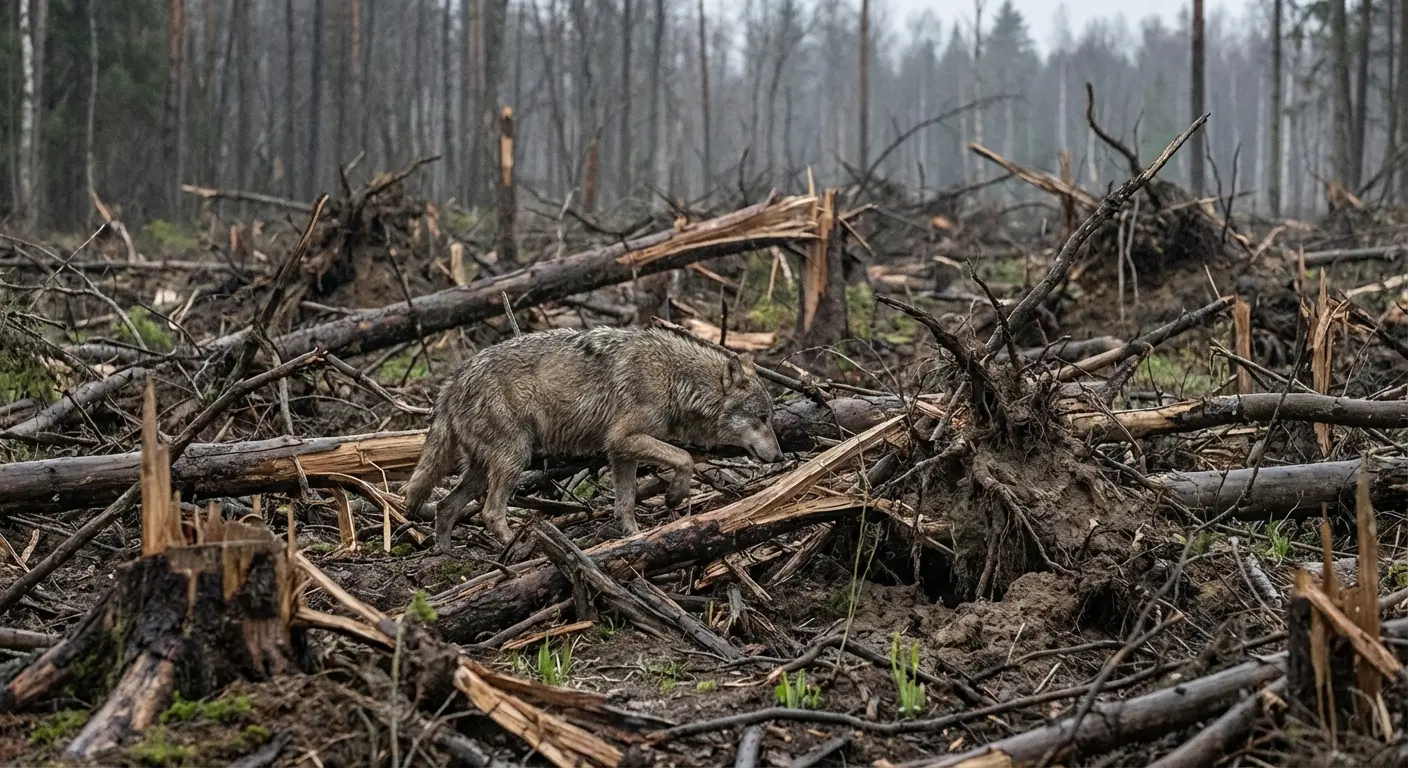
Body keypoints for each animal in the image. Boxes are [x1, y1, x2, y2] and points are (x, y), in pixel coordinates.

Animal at [401, 326, 783, 551]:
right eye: (763, 418)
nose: (780, 457)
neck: (674, 379)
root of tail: (453, 379)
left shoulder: (621, 452)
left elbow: (625, 502)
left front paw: (634, 537)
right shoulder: (625, 439)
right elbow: (685, 459)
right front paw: (675, 496)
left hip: (483, 470)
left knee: (447, 506)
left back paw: (445, 553)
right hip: (514, 459)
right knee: (490, 512)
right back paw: (517, 546)